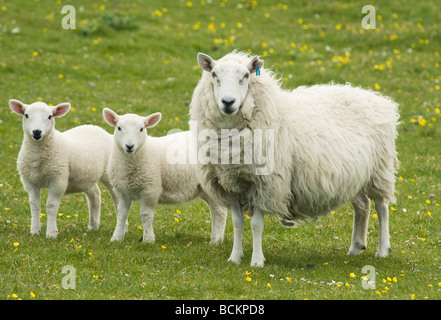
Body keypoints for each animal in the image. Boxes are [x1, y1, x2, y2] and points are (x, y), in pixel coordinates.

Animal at [9, 99, 117, 238]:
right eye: (26, 115)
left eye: (50, 116)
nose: (37, 132)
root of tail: (95, 127)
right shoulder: (30, 182)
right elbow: (34, 206)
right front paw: (34, 231)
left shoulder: (57, 181)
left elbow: (51, 206)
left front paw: (51, 234)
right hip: (85, 177)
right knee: (95, 195)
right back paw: (93, 226)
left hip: (110, 173)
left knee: (116, 199)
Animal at [102, 109, 227, 244]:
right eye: (119, 128)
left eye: (141, 129)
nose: (129, 146)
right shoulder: (121, 191)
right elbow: (121, 214)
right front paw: (117, 237)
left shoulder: (151, 189)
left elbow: (146, 214)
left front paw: (148, 239)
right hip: (204, 188)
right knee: (215, 211)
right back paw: (215, 238)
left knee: (220, 212)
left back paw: (216, 241)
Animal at [189, 52, 398, 268]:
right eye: (214, 74)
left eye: (246, 75)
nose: (228, 102)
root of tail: (377, 98)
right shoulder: (232, 187)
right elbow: (237, 223)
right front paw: (235, 257)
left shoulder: (266, 185)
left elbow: (256, 225)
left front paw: (257, 261)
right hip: (354, 176)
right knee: (362, 205)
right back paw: (356, 247)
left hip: (380, 170)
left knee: (382, 207)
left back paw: (383, 250)